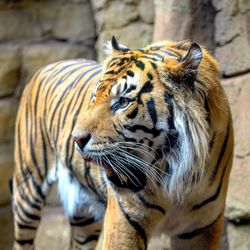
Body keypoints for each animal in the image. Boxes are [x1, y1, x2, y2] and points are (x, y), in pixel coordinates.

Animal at [11, 36, 233, 250]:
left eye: (123, 102)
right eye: (94, 97)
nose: (76, 139)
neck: (177, 178)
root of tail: (49, 65)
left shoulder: (200, 229)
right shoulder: (125, 221)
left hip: (84, 218)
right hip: (28, 187)